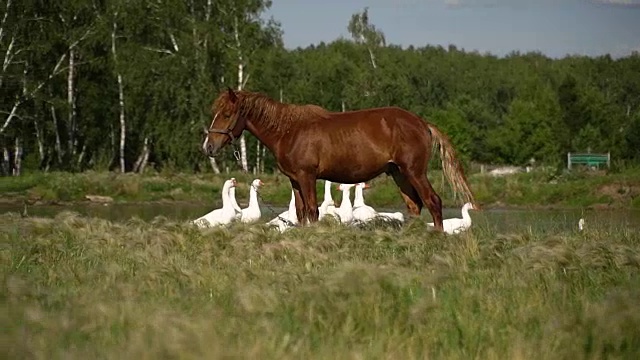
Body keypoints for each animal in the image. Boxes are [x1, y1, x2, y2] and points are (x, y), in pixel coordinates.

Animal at [205, 88, 476, 232]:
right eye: (215, 112)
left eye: (227, 114)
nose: (208, 146)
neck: (290, 130)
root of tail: (421, 123)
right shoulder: (295, 179)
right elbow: (301, 212)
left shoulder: (307, 176)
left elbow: (312, 210)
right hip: (399, 173)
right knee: (414, 206)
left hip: (414, 171)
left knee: (433, 202)